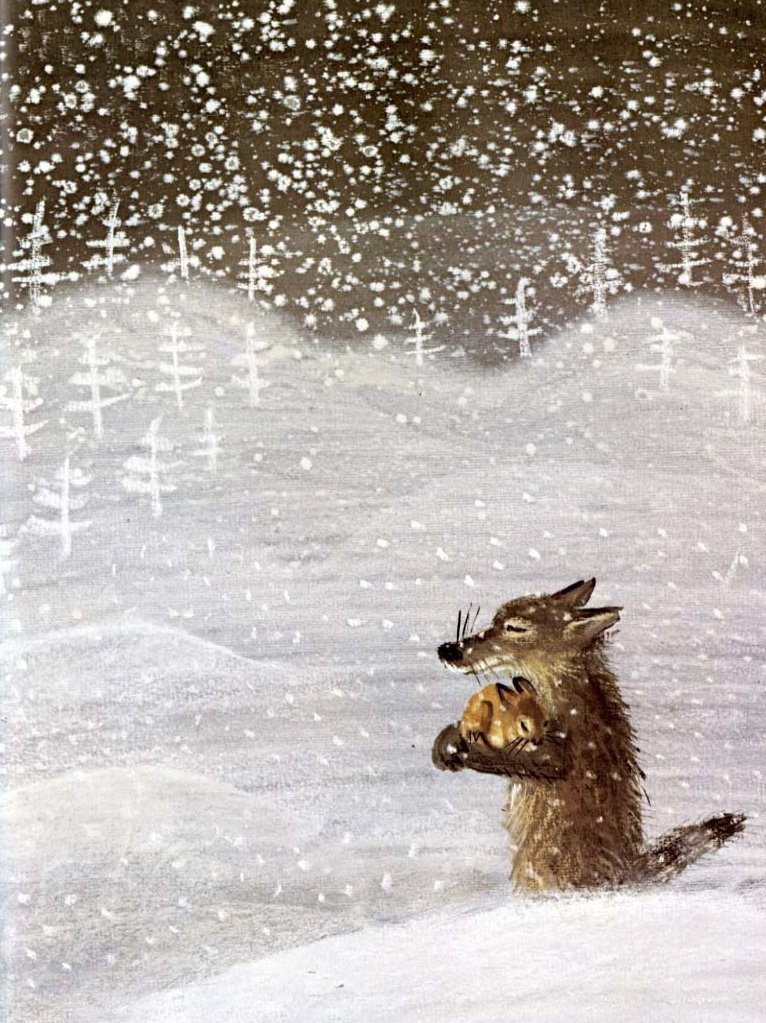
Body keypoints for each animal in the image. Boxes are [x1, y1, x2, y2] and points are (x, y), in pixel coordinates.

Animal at [432, 579, 745, 891]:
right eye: (494, 621)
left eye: (515, 628)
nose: (448, 650)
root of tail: (629, 870)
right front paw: (446, 742)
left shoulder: (561, 748)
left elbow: (517, 757)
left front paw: (461, 751)